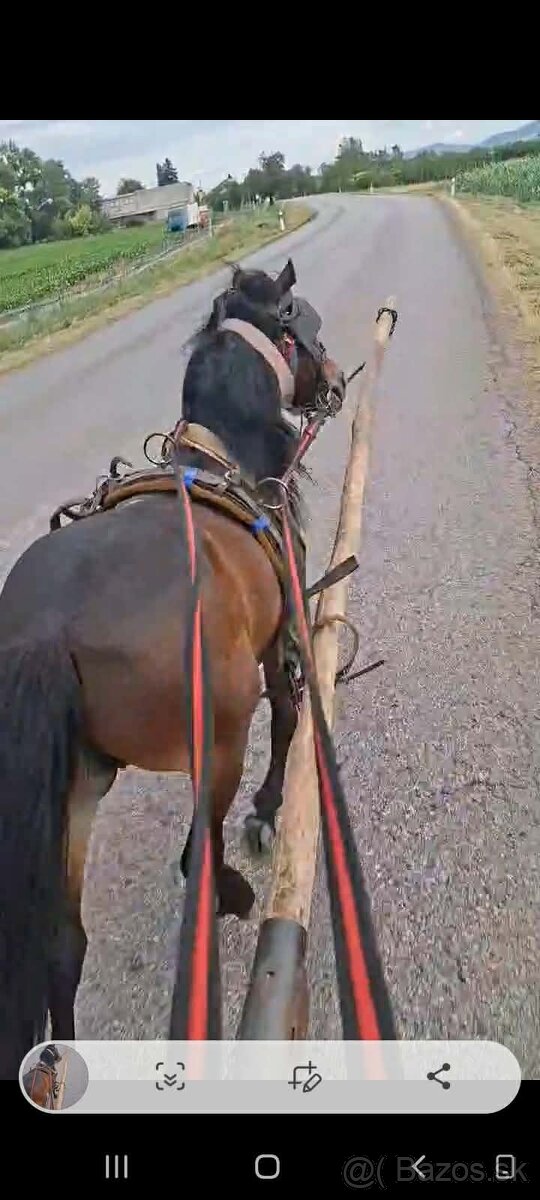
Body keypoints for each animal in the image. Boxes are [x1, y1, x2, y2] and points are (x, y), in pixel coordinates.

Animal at [0, 259, 345, 1078]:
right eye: (305, 323)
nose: (336, 380)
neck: (221, 461)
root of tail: (47, 625)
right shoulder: (277, 638)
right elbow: (288, 715)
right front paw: (266, 812)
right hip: (212, 743)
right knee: (196, 855)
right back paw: (235, 891)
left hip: (78, 784)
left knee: (63, 946)